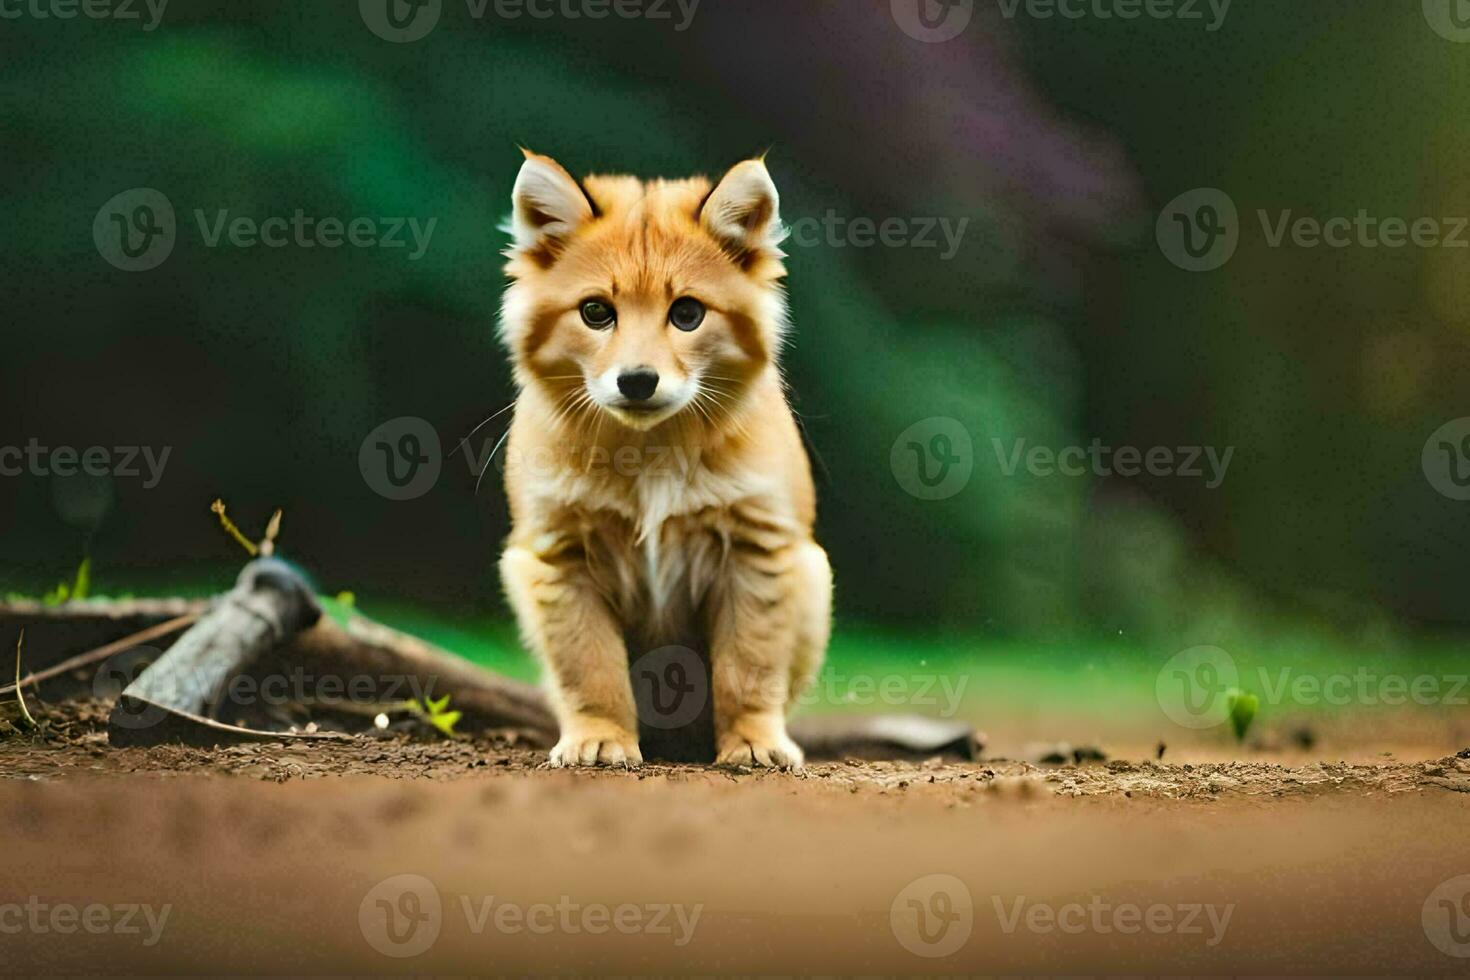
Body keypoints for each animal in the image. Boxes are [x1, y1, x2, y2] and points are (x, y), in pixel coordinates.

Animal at [499, 151, 834, 764]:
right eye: (595, 312)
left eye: (687, 314)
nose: (637, 380)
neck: (649, 451)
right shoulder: (557, 552)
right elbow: (590, 665)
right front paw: (600, 738)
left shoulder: (759, 547)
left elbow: (748, 665)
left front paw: (752, 742)